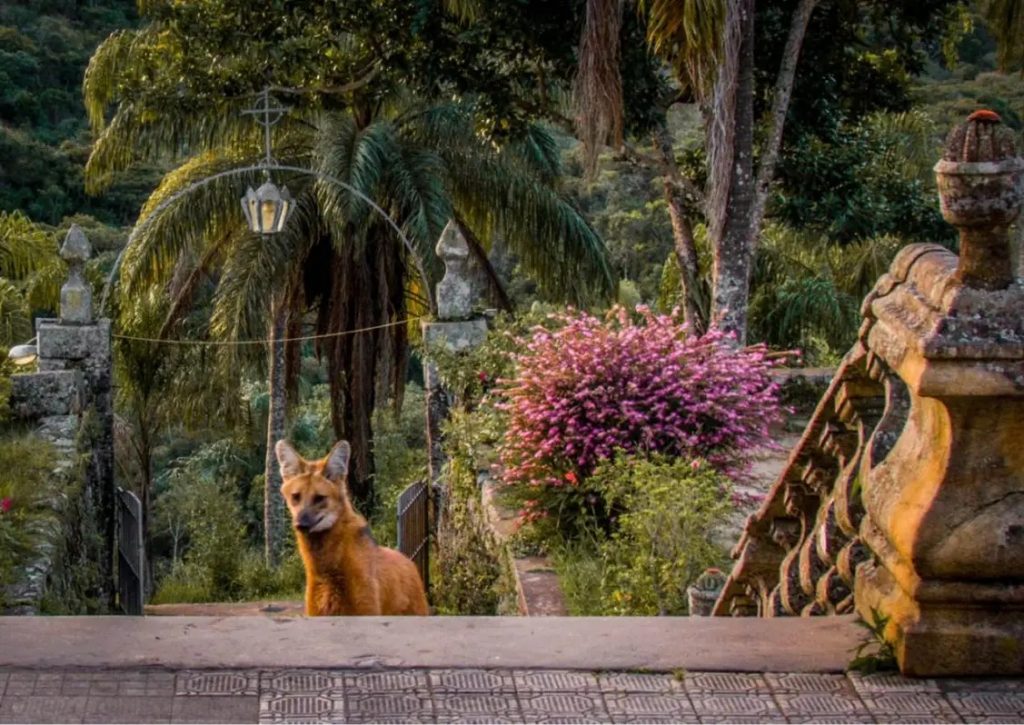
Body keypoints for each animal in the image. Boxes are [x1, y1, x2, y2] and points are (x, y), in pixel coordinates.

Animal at [276, 439, 429, 616]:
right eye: (296, 497)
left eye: (319, 498)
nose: (300, 524)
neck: (326, 572)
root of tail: (409, 562)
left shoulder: (366, 610)